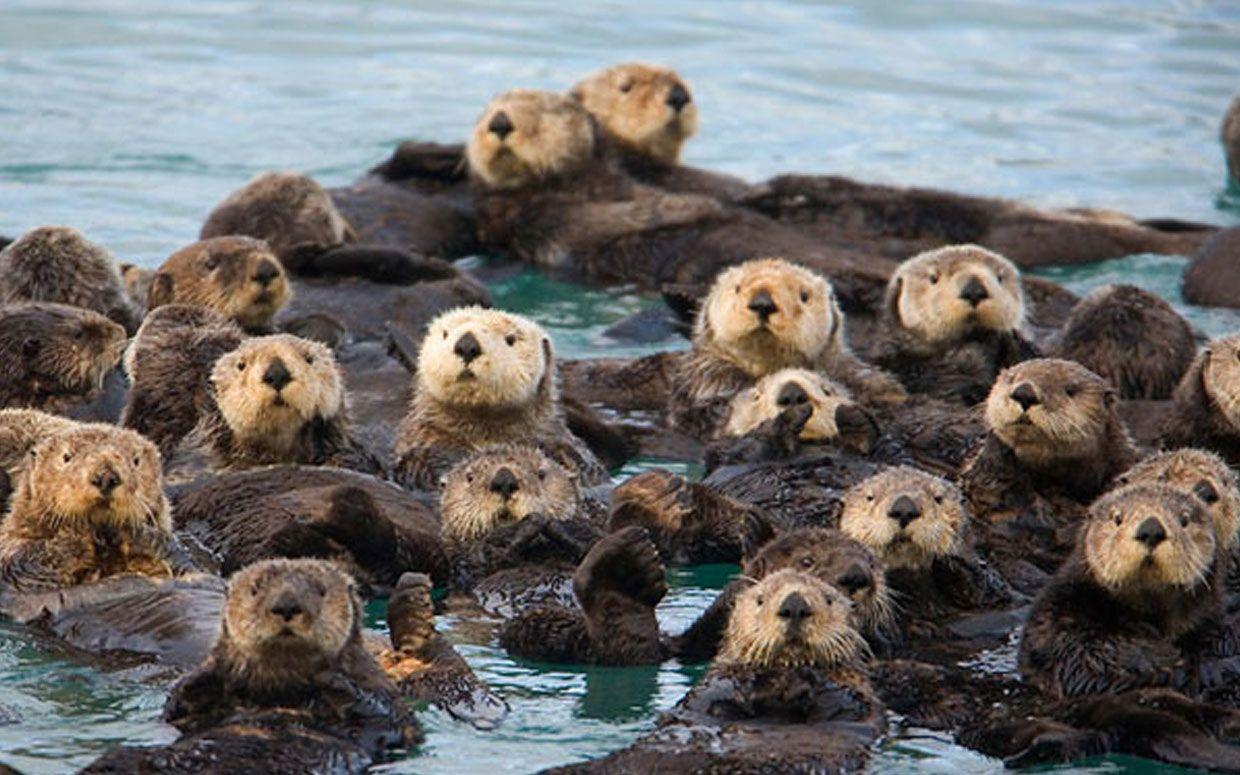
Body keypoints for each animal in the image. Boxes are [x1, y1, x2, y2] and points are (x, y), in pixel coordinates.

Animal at [84, 559, 420, 774]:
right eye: (256, 589)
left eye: (321, 591)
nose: (287, 606)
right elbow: (177, 714)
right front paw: (201, 679)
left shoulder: (381, 691)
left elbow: (388, 716)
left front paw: (333, 683)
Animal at [551, 570, 885, 774]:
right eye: (760, 599)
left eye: (828, 599)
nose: (794, 605)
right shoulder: (710, 687)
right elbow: (714, 693)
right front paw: (757, 681)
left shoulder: (859, 701)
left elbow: (843, 703)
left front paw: (804, 679)